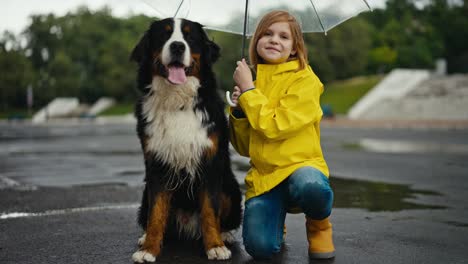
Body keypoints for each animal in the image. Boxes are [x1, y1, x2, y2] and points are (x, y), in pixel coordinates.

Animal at [130, 17, 243, 262]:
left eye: (190, 37)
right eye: (164, 35)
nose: (177, 46)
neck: (177, 102)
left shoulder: (209, 164)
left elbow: (210, 211)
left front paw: (215, 246)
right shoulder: (157, 165)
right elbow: (156, 213)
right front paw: (149, 249)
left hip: (230, 188)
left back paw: (225, 235)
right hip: (144, 194)